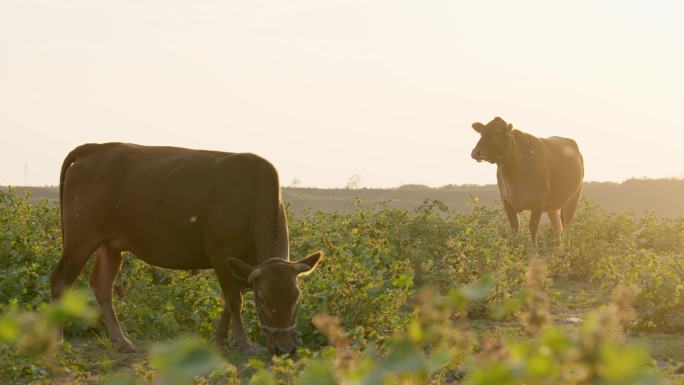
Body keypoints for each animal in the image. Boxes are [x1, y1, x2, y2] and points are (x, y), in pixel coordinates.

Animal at [50, 142, 324, 352]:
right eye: (264, 300)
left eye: (296, 297)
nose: (284, 347)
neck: (253, 197)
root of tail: (94, 148)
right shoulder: (221, 253)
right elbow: (234, 300)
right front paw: (244, 344)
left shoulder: (243, 264)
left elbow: (231, 301)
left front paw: (221, 340)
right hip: (80, 239)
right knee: (61, 280)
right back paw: (58, 340)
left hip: (111, 245)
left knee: (102, 285)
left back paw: (122, 341)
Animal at [470, 115, 584, 246]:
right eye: (481, 133)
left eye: (497, 133)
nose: (476, 152)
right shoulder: (506, 201)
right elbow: (514, 227)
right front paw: (514, 248)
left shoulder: (538, 201)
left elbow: (532, 227)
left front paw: (534, 250)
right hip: (553, 206)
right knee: (557, 228)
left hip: (573, 198)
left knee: (567, 226)